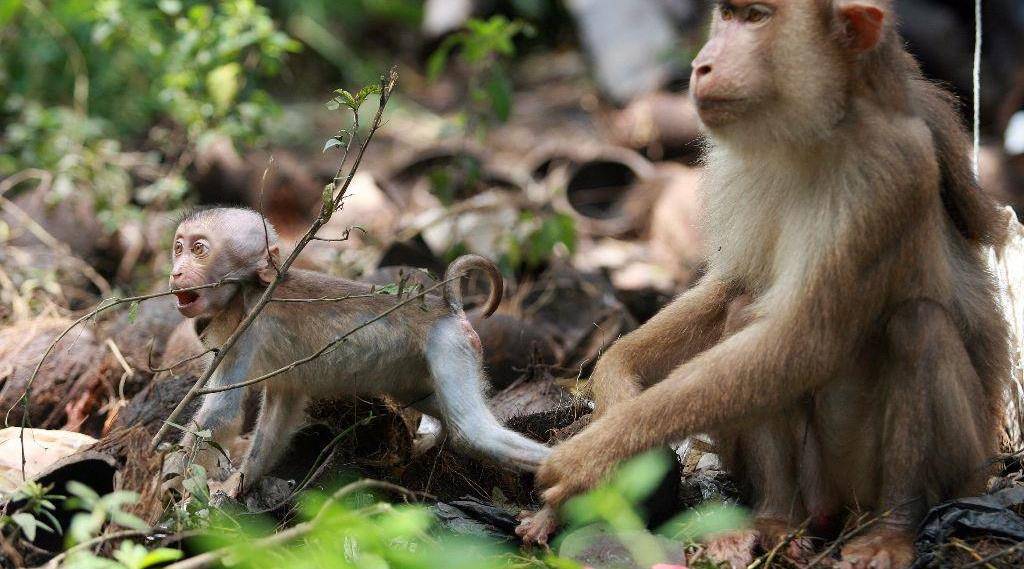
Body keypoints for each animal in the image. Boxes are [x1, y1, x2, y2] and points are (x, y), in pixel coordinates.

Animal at [163, 207, 548, 493]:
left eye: (199, 249)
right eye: (178, 248)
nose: (176, 272)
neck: (250, 289)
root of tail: (448, 308)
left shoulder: (246, 328)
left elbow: (222, 413)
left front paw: (170, 487)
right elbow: (281, 409)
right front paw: (237, 486)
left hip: (449, 343)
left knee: (474, 433)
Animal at [520, 2, 1007, 564]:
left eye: (756, 18)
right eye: (729, 16)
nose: (701, 64)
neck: (818, 135)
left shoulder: (888, 173)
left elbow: (803, 342)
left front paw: (595, 452)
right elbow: (733, 289)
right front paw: (615, 386)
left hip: (962, 465)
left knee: (915, 325)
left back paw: (894, 527)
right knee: (747, 315)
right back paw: (776, 519)